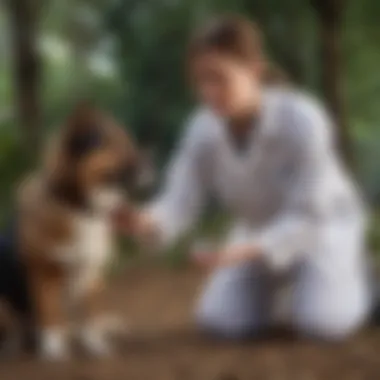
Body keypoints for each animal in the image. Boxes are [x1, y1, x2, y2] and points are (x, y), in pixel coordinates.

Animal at [1, 104, 138, 360]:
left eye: (127, 141)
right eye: (111, 144)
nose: (151, 163)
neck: (78, 207)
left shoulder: (91, 274)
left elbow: (91, 315)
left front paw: (94, 343)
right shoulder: (45, 275)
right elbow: (51, 312)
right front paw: (55, 348)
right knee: (18, 329)